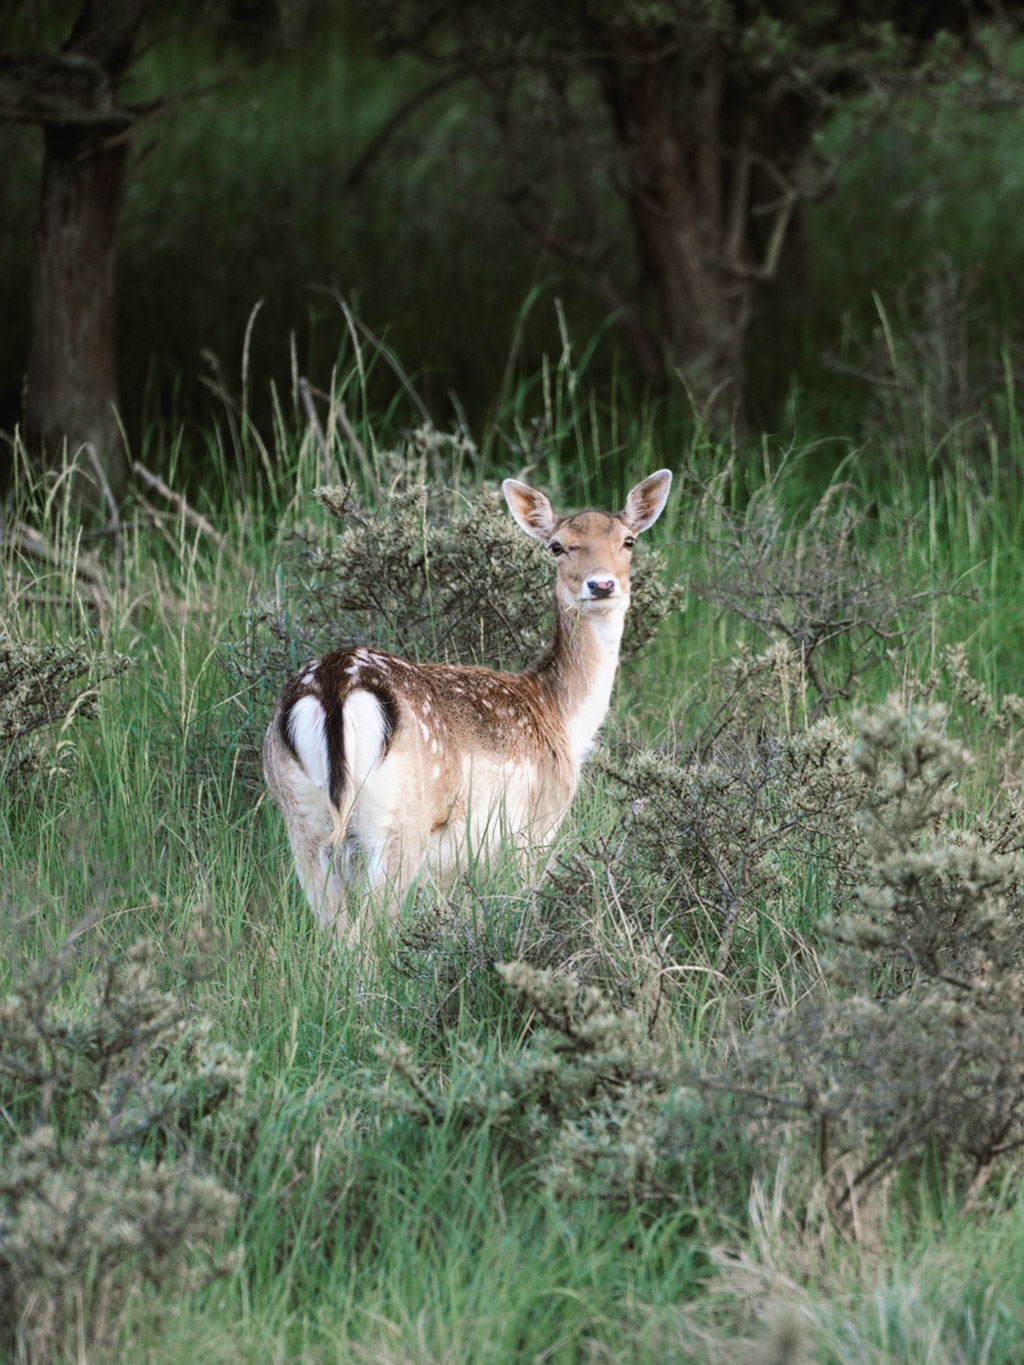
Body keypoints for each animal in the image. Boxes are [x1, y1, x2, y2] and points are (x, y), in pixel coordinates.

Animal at [264, 472, 674, 939]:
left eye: (628, 540)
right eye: (556, 546)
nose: (602, 584)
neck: (561, 718)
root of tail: (335, 685)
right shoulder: (535, 827)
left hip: (302, 820)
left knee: (334, 929)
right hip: (399, 822)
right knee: (366, 936)